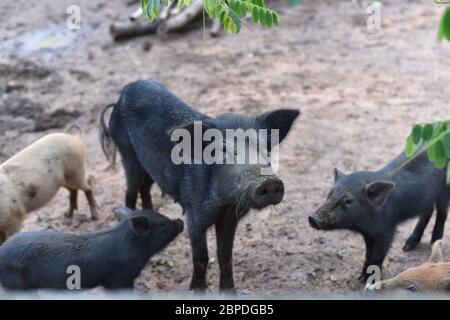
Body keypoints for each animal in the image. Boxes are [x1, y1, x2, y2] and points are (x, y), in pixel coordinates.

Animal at [100, 79, 300, 290]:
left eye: (265, 148)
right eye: (223, 150)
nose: (269, 181)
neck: (224, 203)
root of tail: (120, 97)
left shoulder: (230, 219)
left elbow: (225, 257)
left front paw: (229, 291)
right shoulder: (194, 215)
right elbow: (201, 258)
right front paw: (196, 290)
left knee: (145, 188)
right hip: (126, 153)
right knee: (129, 192)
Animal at [310, 151, 450, 282]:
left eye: (348, 201)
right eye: (329, 194)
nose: (312, 218)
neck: (364, 224)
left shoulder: (387, 231)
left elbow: (378, 256)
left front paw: (369, 281)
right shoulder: (368, 234)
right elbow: (368, 254)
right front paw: (360, 278)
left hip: (444, 192)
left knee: (442, 213)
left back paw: (433, 243)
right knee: (427, 211)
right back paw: (407, 246)